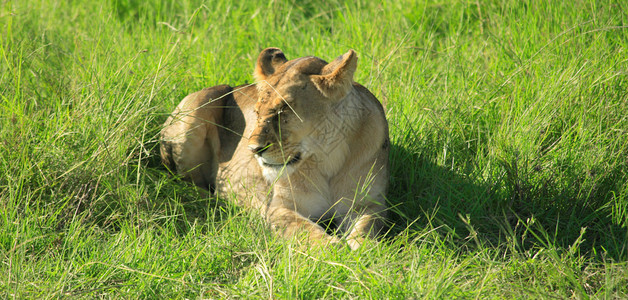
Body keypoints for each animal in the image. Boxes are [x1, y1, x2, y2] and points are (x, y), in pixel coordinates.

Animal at [161, 47, 388, 248]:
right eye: (257, 112)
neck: (326, 160)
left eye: (284, 110)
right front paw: (335, 251)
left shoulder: (367, 204)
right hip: (198, 107)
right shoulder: (276, 208)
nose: (254, 150)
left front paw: (365, 250)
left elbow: (366, 226)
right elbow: (306, 231)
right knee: (188, 182)